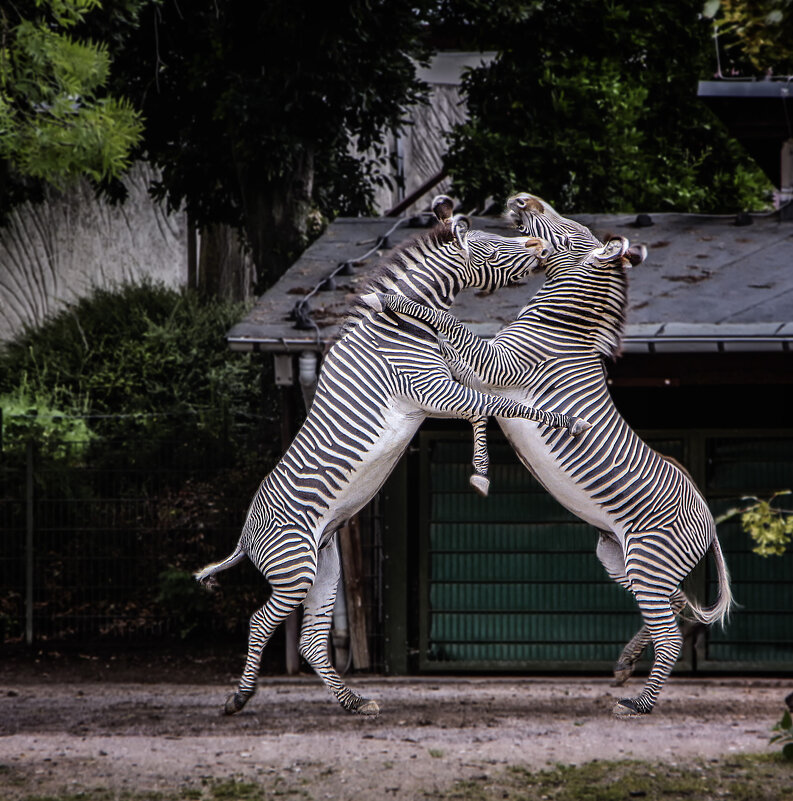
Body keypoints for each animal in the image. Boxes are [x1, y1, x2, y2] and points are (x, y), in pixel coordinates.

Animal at [193, 195, 588, 720]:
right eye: (491, 245)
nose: (540, 245)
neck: (404, 324)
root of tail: (244, 535)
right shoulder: (429, 390)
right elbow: (494, 406)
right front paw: (562, 423)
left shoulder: (441, 389)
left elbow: (482, 411)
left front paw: (481, 473)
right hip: (294, 568)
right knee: (260, 622)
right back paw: (239, 698)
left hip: (324, 566)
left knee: (312, 640)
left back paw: (355, 703)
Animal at [366, 195, 732, 720]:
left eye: (566, 226)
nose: (521, 199)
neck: (558, 326)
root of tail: (708, 515)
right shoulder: (482, 374)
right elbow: (466, 389)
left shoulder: (493, 362)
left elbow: (452, 329)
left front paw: (394, 303)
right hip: (620, 558)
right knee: (676, 608)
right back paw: (625, 664)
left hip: (647, 558)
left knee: (671, 636)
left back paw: (636, 703)